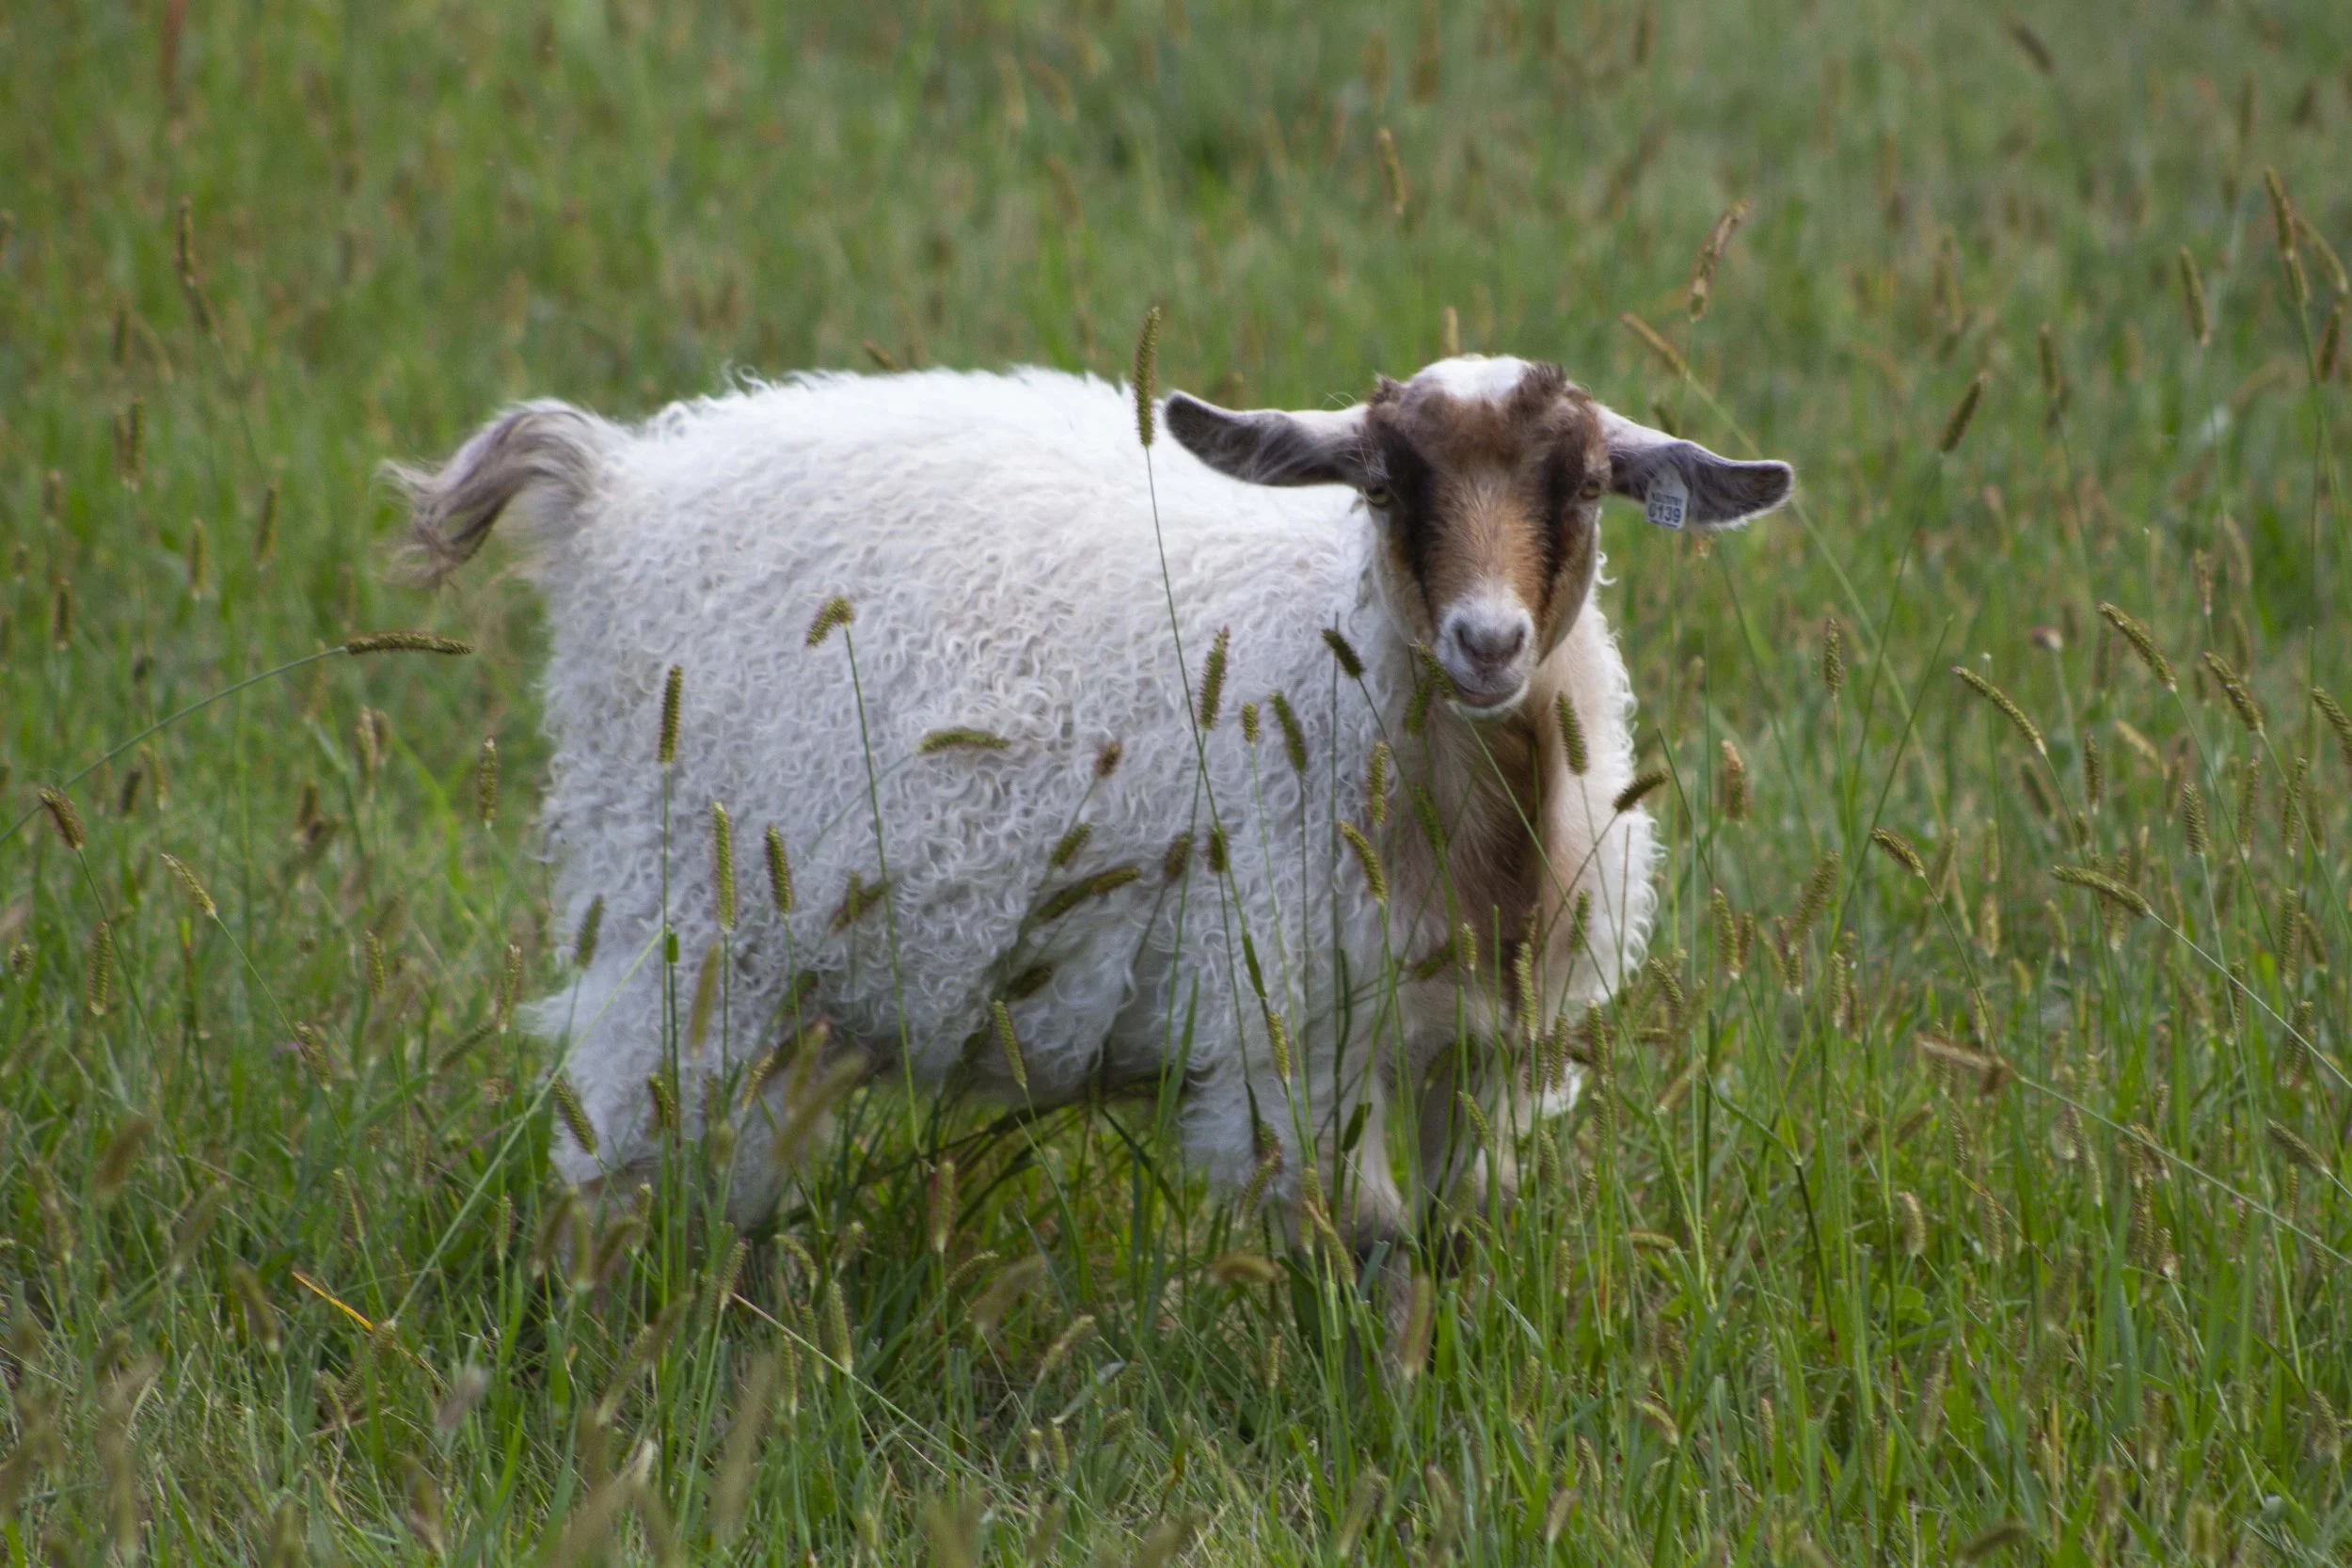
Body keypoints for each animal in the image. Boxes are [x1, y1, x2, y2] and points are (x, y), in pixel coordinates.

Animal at [395, 356, 1792, 1251]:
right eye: (1387, 484)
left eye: (1587, 485)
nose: (1487, 641)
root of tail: (615, 485)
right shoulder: (1292, 1028)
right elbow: (1367, 1244)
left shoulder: (1483, 1046)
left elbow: (1458, 1232)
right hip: (680, 918)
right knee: (612, 1157)